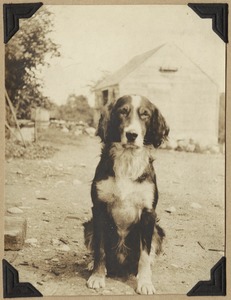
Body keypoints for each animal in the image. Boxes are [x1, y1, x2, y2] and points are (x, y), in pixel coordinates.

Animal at [84, 95, 169, 294]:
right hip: (89, 225)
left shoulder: (148, 213)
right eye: (123, 111)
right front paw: (97, 276)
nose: (132, 135)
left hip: (158, 230)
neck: (127, 161)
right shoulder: (98, 208)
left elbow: (144, 255)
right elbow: (100, 249)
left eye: (145, 114)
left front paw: (145, 282)